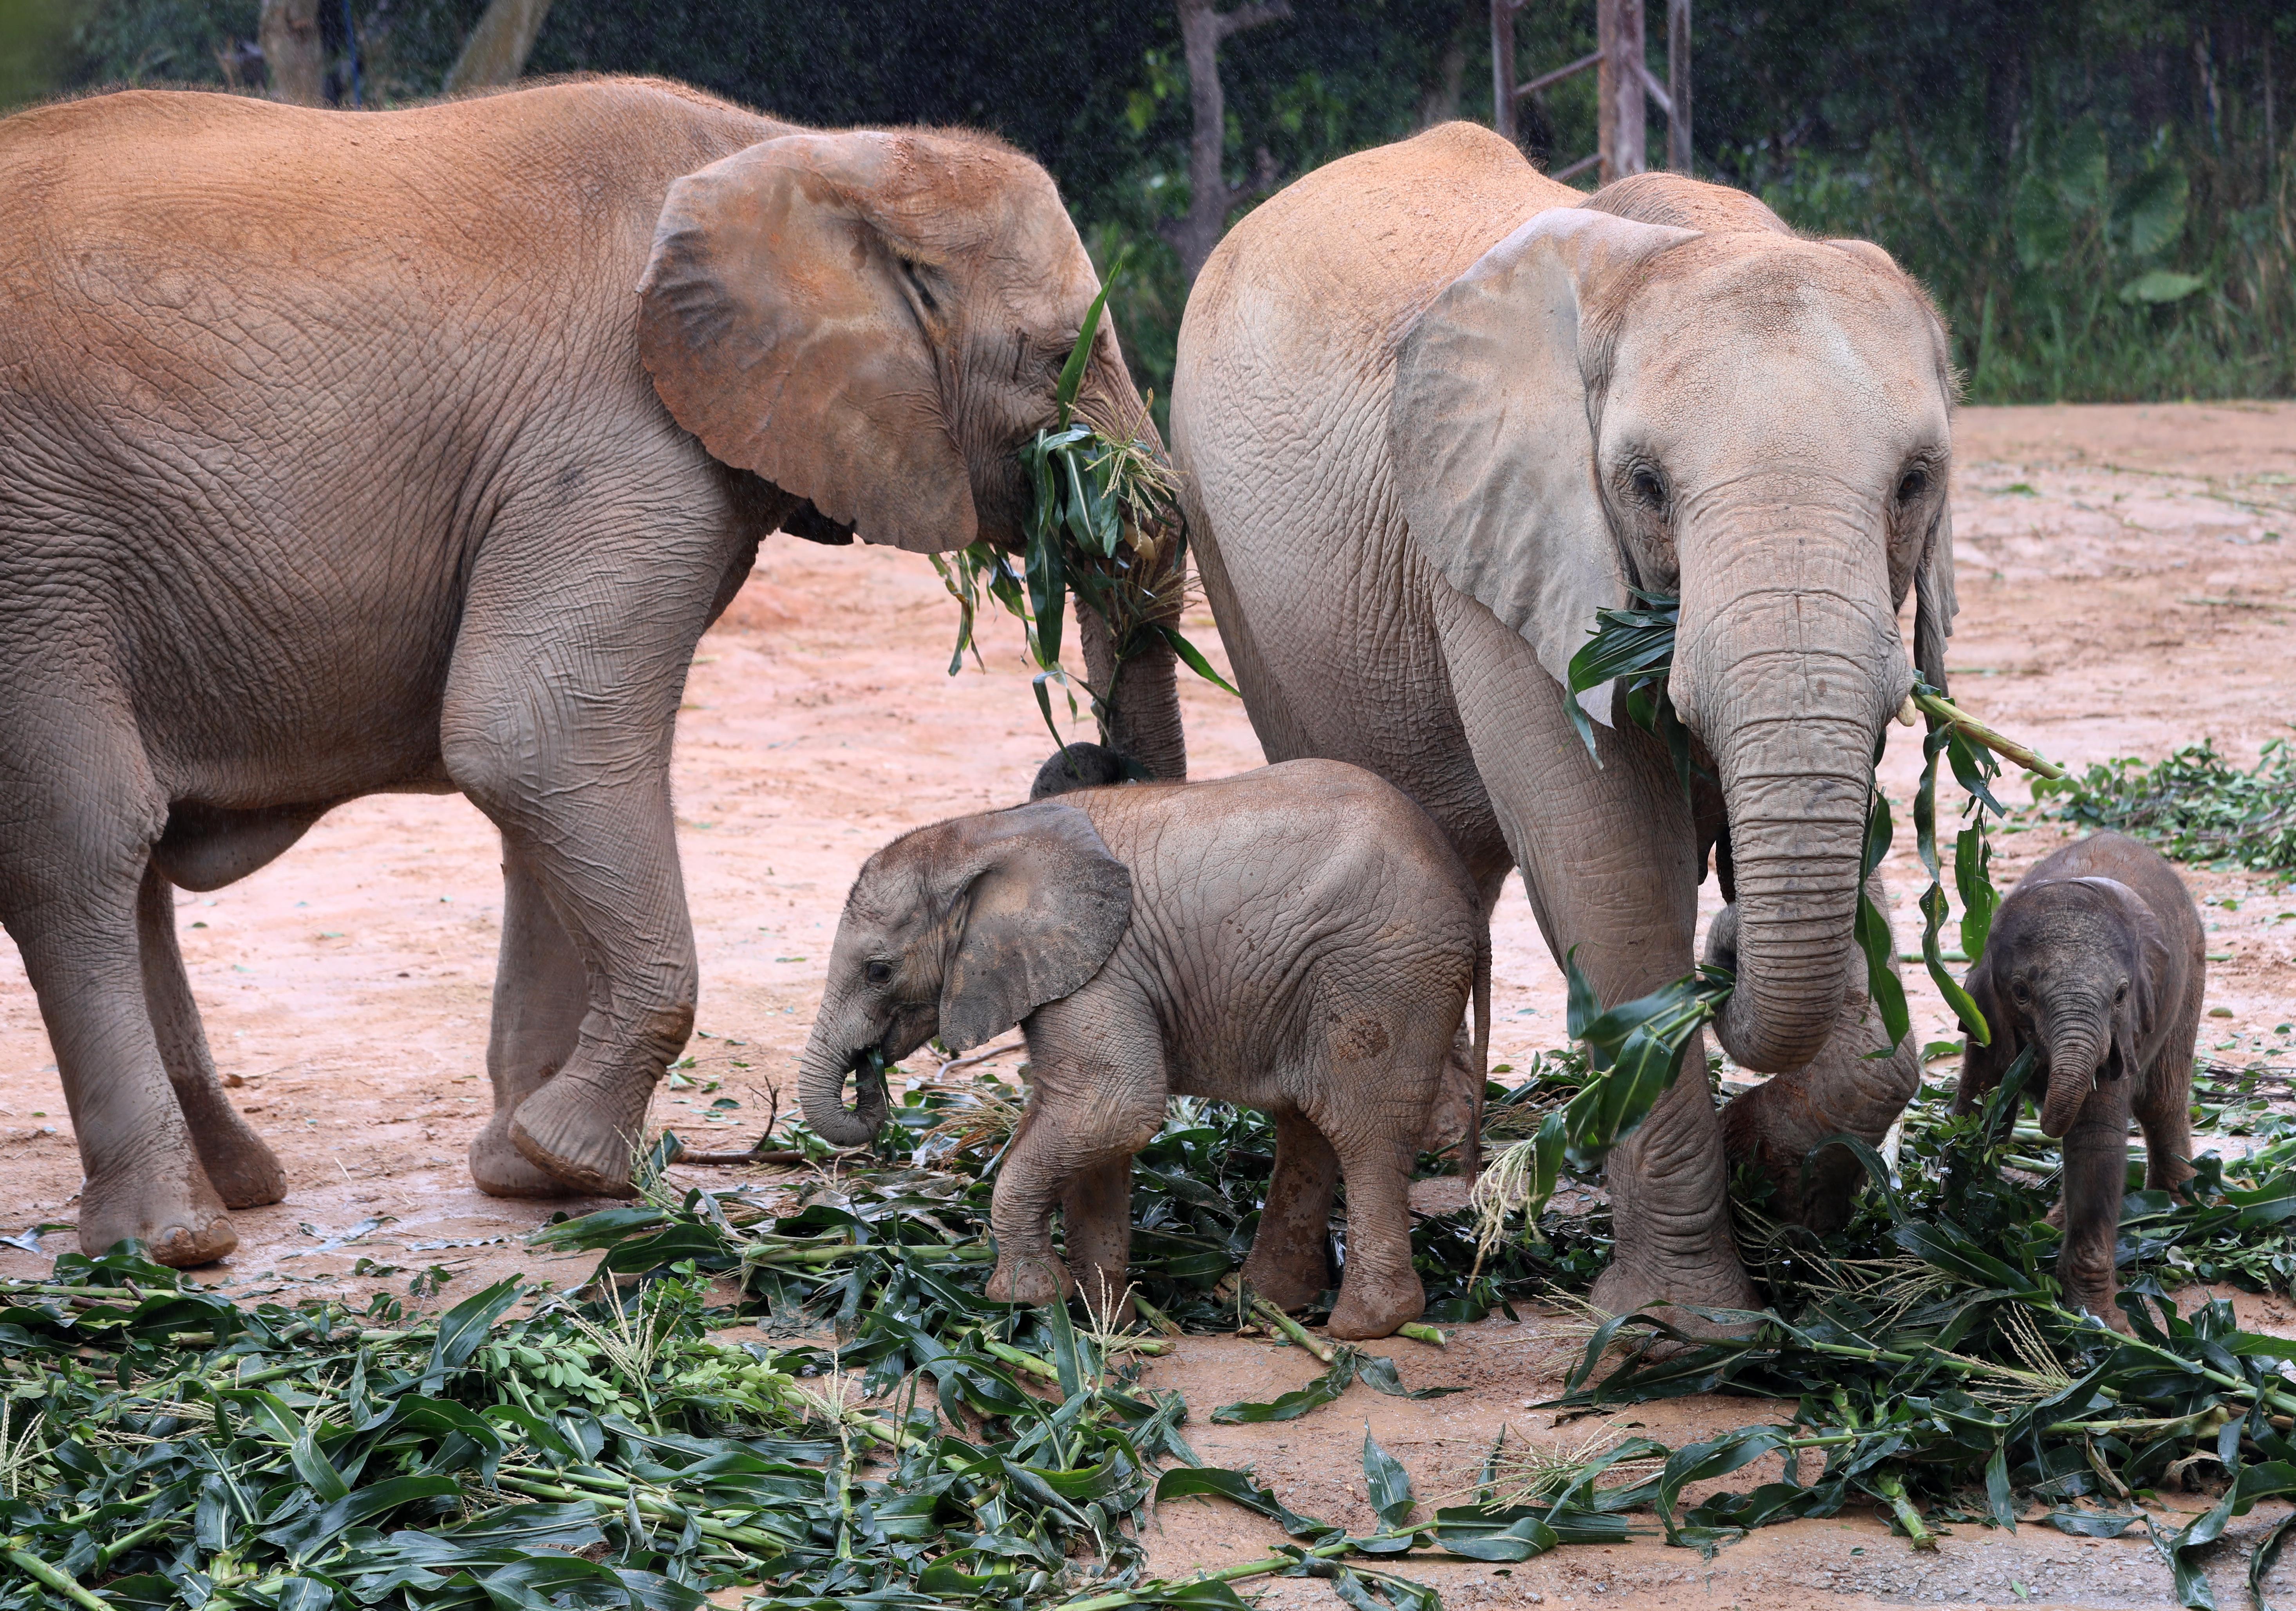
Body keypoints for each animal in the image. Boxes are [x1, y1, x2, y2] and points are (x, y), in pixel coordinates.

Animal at [0, 76, 1184, 1266]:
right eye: (1056, 356)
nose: (1084, 754)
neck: (803, 152)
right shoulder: (618, 431)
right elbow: (533, 734)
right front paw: (576, 1161)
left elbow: (545, 772)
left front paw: (523, 1170)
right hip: (40, 545)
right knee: (85, 841)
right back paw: (169, 1242)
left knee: (129, 863)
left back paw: (235, 1188)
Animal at [799, 762, 1497, 1340]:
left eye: (879, 971)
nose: (870, 1070)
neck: (986, 830)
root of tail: (1466, 890)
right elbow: (1088, 1128)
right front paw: (1107, 1322)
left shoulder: (1103, 970)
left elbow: (1112, 1108)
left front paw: (1026, 1298)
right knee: (1308, 1121)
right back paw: (1259, 1302)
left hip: (1382, 970)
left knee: (1362, 1128)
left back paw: (1363, 1325)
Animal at [1166, 130, 1956, 1322]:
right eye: (1645, 485)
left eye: (1914, 481)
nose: (1727, 947)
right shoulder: (1503, 545)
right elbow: (1610, 874)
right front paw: (1683, 1330)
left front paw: (1775, 1184)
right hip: (1222, 546)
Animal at [1956, 826, 2204, 1331]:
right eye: (2021, 993)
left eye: (2121, 995)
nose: (2035, 1068)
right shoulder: (1982, 1012)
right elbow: (1977, 1106)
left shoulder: (2123, 1030)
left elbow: (2095, 1142)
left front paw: (2102, 1327)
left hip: (2191, 975)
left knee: (2162, 1100)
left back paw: (2170, 1211)